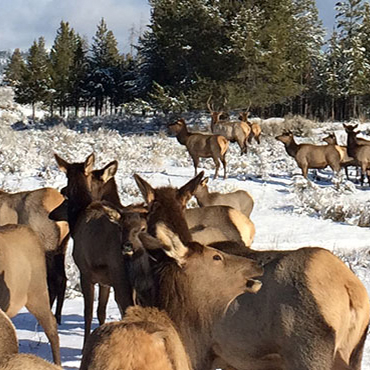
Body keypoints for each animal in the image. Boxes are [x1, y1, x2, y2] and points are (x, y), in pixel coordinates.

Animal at [51, 153, 148, 350]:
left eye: (65, 194)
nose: (51, 214)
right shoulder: (105, 281)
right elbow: (100, 311)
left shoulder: (86, 272)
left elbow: (88, 312)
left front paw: (85, 346)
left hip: (122, 278)